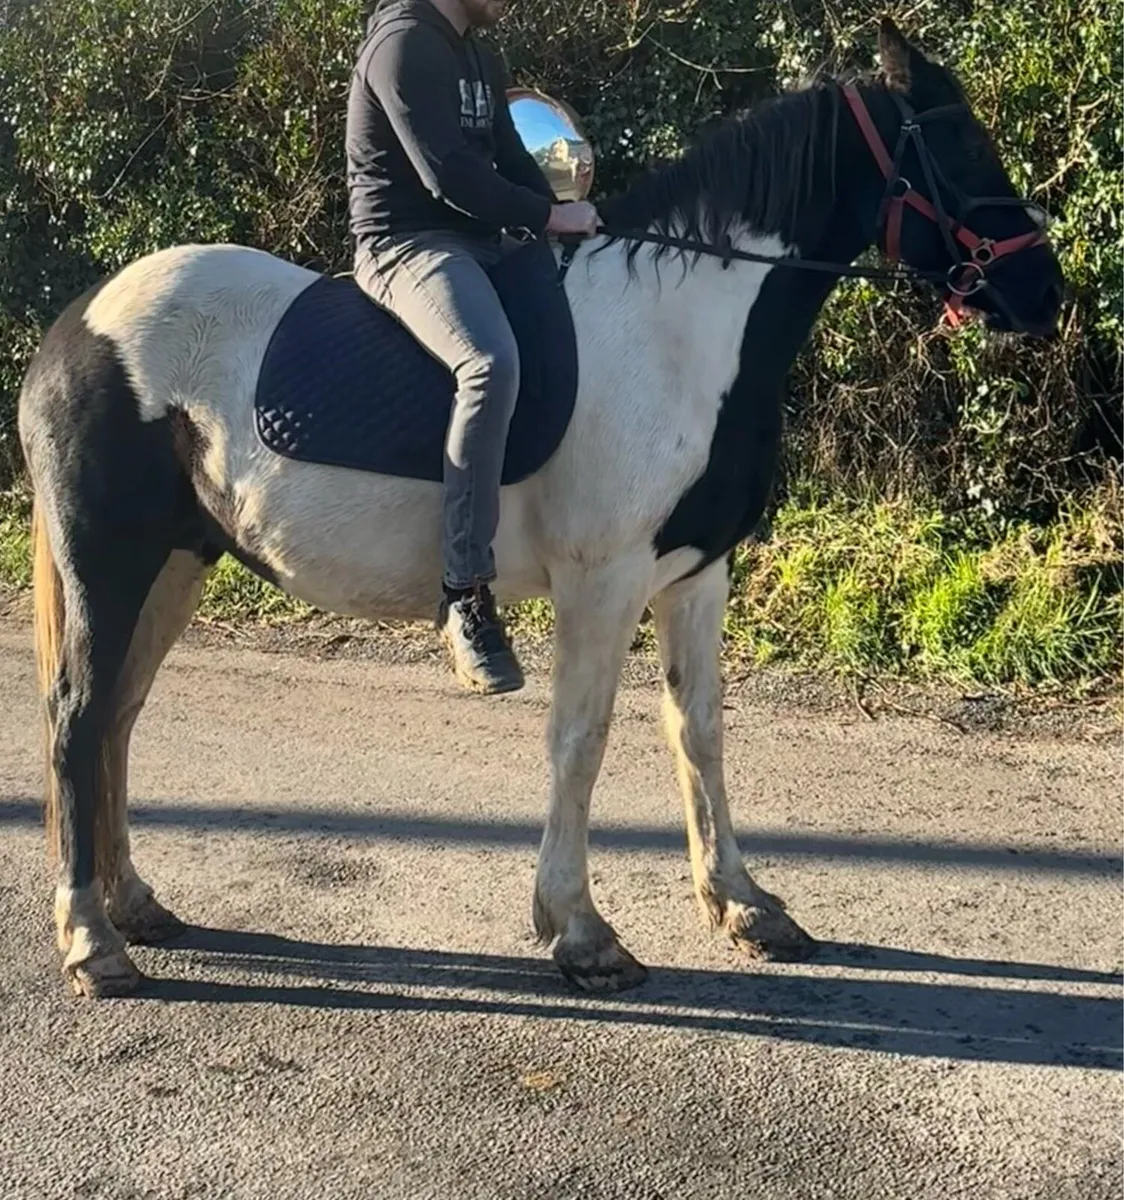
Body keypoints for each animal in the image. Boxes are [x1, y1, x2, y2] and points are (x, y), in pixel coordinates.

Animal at [17, 19, 1062, 999]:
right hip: (109, 565)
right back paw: (93, 941)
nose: (1045, 292)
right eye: (960, 141)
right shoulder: (603, 581)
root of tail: (73, 329)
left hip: (176, 564)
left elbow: (701, 729)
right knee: (75, 717)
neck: (680, 335)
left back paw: (136, 906)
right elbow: (580, 740)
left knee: (117, 717)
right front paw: (581, 932)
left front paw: (743, 904)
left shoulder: (697, 575)